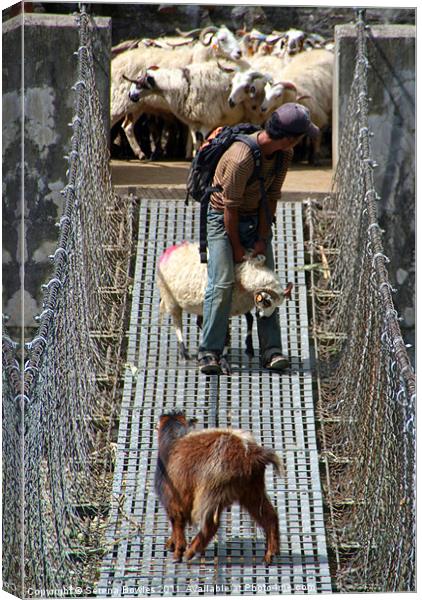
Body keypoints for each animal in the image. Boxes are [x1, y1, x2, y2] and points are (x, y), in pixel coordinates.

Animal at [155, 410, 284, 564]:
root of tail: (252, 453)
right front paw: (171, 543)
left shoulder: (174, 498)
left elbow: (177, 522)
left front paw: (177, 551)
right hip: (251, 490)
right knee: (269, 516)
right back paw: (270, 554)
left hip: (211, 493)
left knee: (211, 525)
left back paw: (190, 552)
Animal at [157, 241, 292, 364]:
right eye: (267, 301)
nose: (263, 317)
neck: (243, 276)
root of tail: (168, 253)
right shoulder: (226, 307)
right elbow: (228, 333)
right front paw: (225, 360)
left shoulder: (239, 305)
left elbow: (249, 319)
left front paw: (248, 348)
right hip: (170, 298)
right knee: (177, 324)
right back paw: (184, 353)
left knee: (198, 321)